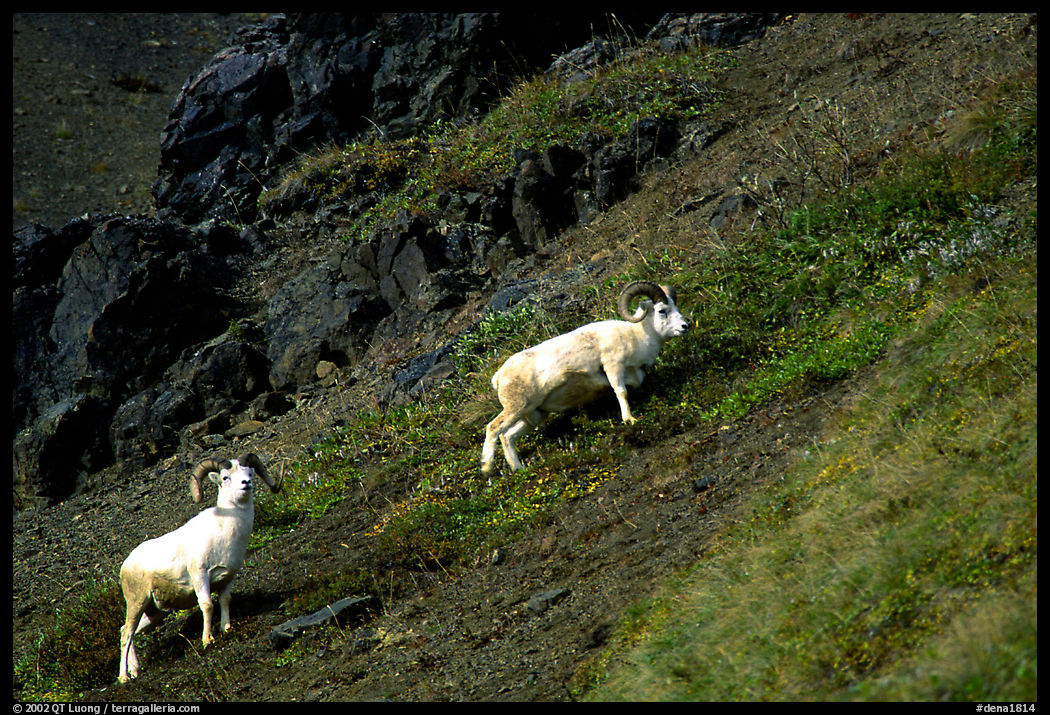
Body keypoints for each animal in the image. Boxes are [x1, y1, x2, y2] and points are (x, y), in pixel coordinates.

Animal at [117, 453, 280, 683]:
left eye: (249, 472)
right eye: (225, 477)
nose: (246, 483)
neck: (226, 532)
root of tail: (126, 565)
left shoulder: (228, 578)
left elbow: (225, 600)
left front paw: (226, 628)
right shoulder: (200, 576)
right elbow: (207, 605)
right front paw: (207, 640)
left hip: (153, 612)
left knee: (129, 632)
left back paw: (135, 670)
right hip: (137, 602)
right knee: (126, 635)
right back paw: (124, 677)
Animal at [481, 281, 688, 475]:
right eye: (662, 311)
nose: (685, 327)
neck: (636, 336)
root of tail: (499, 376)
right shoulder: (613, 367)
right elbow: (621, 392)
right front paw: (630, 420)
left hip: (534, 414)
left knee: (507, 436)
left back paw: (519, 469)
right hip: (515, 408)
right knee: (493, 428)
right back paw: (486, 468)